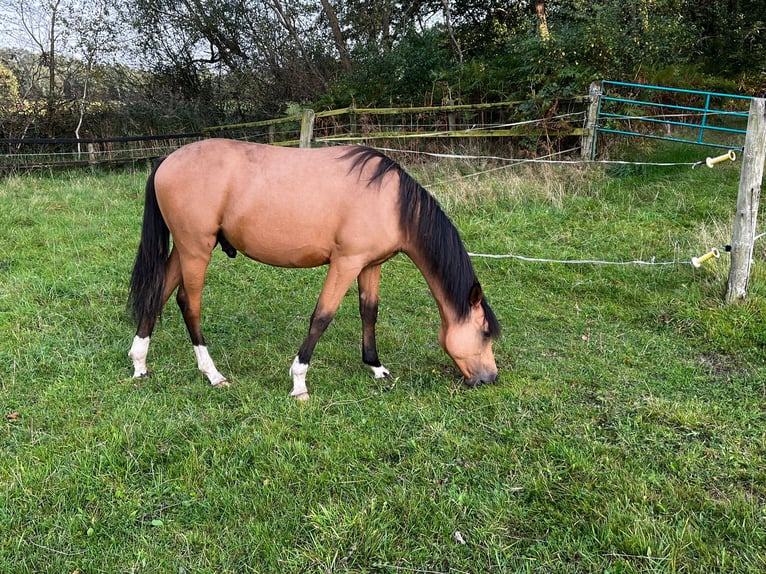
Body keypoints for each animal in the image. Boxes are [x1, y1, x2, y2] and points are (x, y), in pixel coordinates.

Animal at [129, 140, 500, 400]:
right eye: (484, 332)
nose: (490, 378)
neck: (391, 202)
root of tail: (167, 161)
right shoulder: (346, 263)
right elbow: (322, 316)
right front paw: (299, 381)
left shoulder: (370, 265)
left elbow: (369, 312)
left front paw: (376, 367)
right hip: (196, 250)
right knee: (188, 303)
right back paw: (212, 373)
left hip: (184, 250)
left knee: (158, 295)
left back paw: (139, 363)